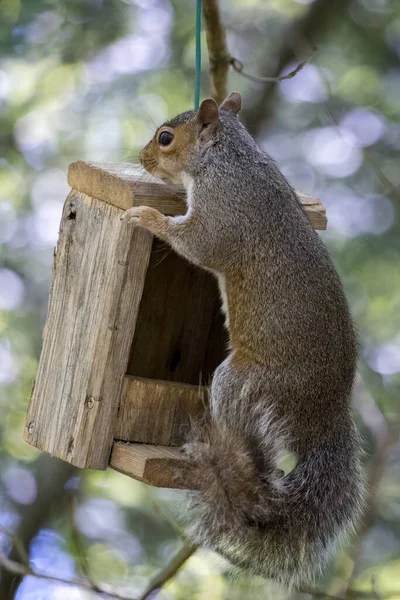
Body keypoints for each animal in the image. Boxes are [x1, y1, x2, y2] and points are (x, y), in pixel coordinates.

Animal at [122, 92, 366, 584]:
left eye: (165, 137)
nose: (140, 157)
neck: (230, 158)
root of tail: (326, 419)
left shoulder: (223, 211)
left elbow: (198, 243)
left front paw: (148, 216)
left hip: (242, 384)